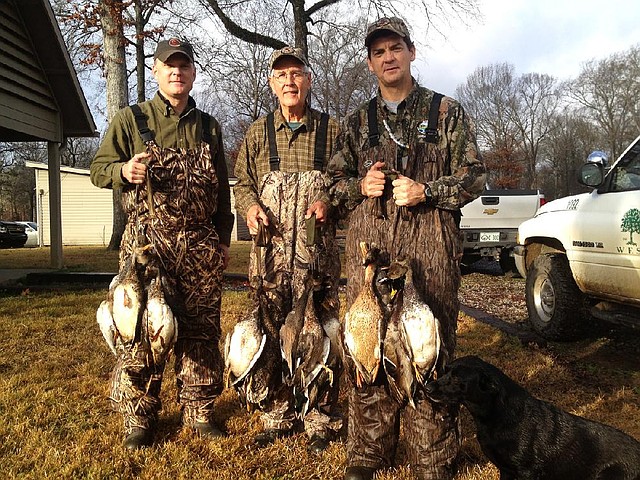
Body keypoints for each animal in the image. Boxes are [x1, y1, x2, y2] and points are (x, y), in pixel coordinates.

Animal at [424, 354, 640, 478]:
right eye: (444, 371)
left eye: (457, 379)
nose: (427, 388)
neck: (497, 417)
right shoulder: (506, 470)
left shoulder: (527, 472)